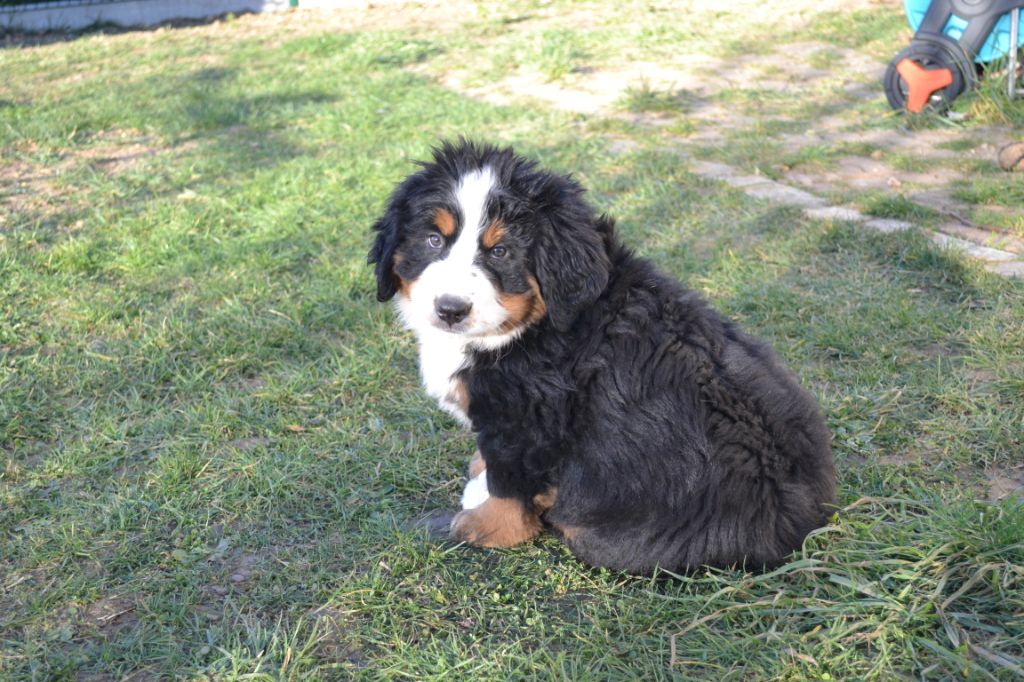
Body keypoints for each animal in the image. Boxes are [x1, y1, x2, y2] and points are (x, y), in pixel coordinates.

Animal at [368, 139, 836, 573]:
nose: (450, 309)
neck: (529, 328)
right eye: (433, 240)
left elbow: (510, 482)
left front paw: (484, 525)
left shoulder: (528, 418)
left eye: (500, 251)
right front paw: (480, 476)